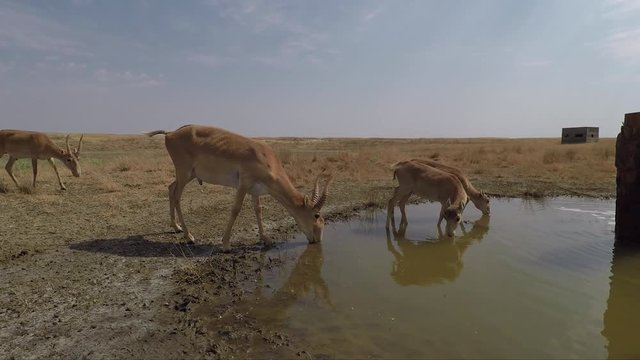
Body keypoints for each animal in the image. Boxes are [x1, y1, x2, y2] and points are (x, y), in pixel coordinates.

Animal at [148, 125, 332, 249]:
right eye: (317, 215)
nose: (318, 240)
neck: (265, 158)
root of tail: (170, 133)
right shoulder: (243, 185)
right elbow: (235, 209)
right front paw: (226, 244)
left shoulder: (255, 190)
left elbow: (258, 210)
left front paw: (265, 239)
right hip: (184, 173)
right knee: (177, 196)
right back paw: (189, 236)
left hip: (187, 176)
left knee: (170, 189)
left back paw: (177, 227)